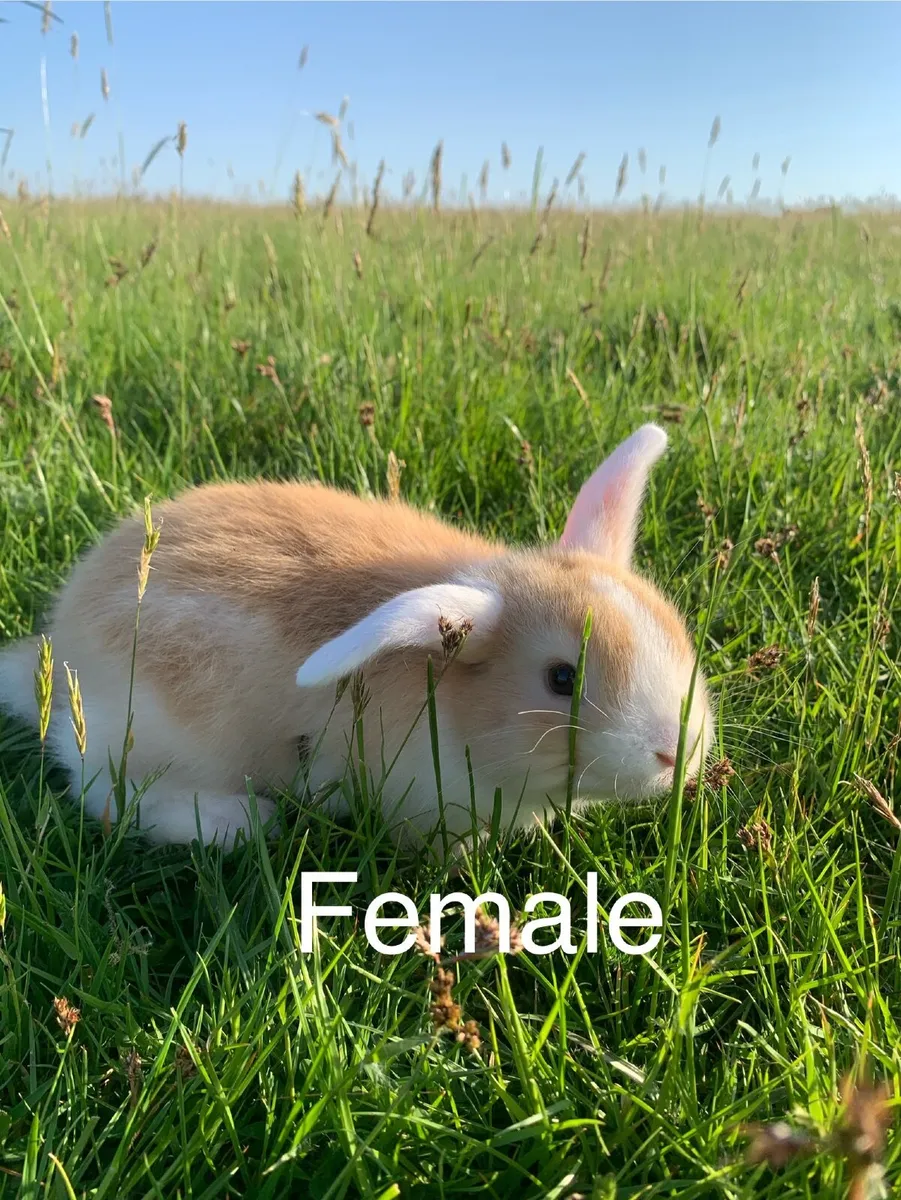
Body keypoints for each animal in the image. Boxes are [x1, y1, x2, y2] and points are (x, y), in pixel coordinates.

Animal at [0, 423, 712, 850]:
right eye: (562, 678)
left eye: (674, 629)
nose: (678, 753)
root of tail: (59, 649)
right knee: (104, 794)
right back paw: (239, 822)